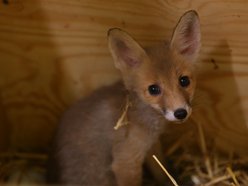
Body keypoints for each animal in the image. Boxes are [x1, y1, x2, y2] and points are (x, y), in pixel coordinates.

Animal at [47, 10, 201, 186]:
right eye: (153, 89)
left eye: (184, 81)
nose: (180, 113)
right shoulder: (126, 160)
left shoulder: (151, 146)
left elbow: (162, 172)